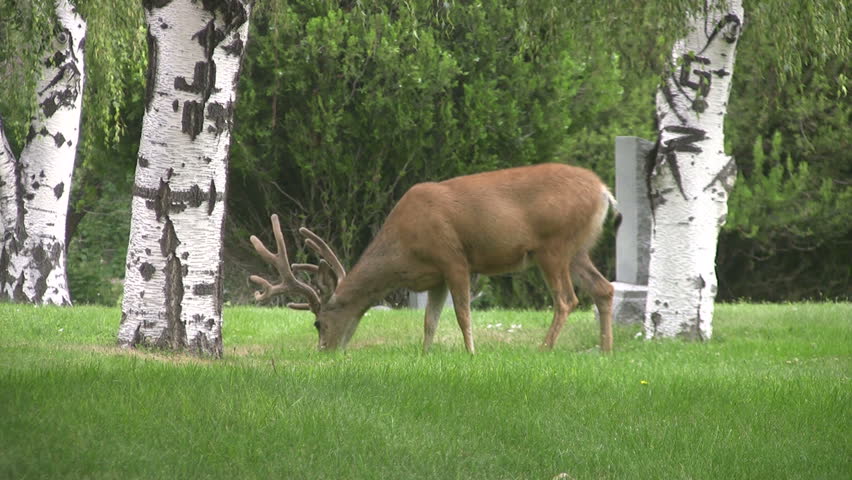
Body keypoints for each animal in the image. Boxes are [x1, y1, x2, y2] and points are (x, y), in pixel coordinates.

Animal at [249, 162, 618, 354]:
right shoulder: (435, 276)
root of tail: (604, 192)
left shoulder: (453, 258)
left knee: (567, 299)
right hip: (577, 249)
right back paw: (605, 350)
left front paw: (471, 353)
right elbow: (430, 320)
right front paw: (424, 354)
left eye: (317, 323)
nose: (324, 350)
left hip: (553, 246)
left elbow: (463, 314)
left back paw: (543, 348)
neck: (404, 250)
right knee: (603, 288)